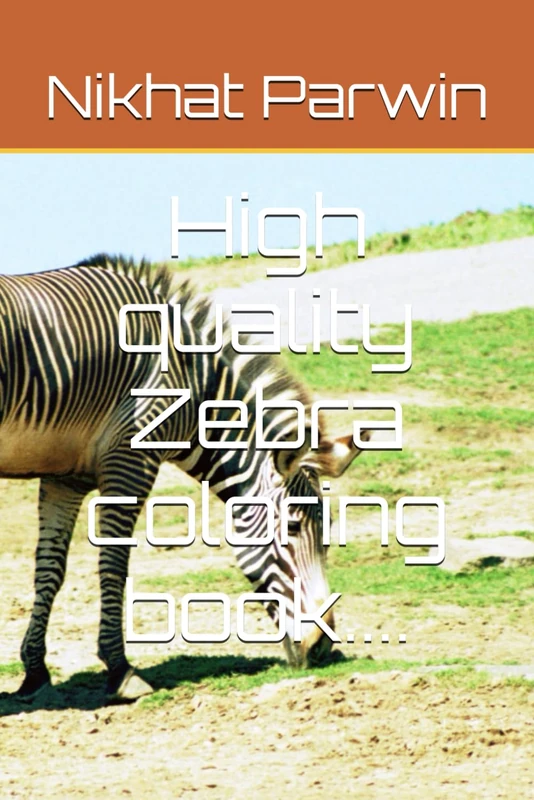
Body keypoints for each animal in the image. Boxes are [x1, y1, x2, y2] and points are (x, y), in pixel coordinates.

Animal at [0, 255, 367, 701]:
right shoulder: (130, 459)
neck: (187, 379)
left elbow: (50, 569)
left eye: (328, 532)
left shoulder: (65, 477)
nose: (322, 648)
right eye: (293, 528)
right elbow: (114, 564)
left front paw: (34, 671)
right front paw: (121, 670)